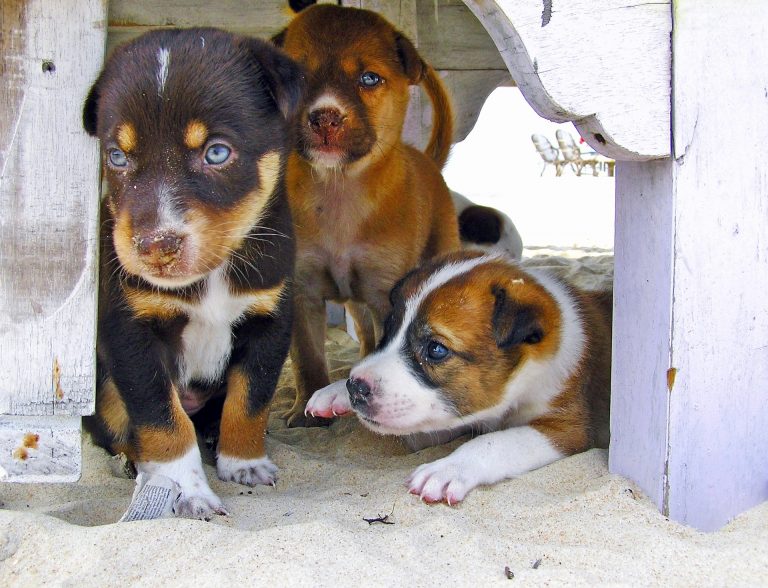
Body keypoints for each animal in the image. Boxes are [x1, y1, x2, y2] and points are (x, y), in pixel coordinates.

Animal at [82, 28, 304, 516]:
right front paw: (184, 488)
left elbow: (250, 400)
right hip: (104, 388)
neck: (211, 276)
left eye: (216, 152)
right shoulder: (130, 332)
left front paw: (244, 463)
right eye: (117, 157)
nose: (155, 246)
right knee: (115, 427)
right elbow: (162, 418)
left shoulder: (271, 319)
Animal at [272, 4, 460, 428]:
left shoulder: (385, 292)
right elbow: (307, 358)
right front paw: (307, 411)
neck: (338, 190)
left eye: (369, 78)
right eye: (298, 75)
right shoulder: (302, 290)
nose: (325, 116)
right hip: (355, 302)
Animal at [306, 250, 612, 504]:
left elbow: (496, 441)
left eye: (436, 349)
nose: (355, 387)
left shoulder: (567, 429)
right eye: (389, 331)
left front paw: (449, 468)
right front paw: (335, 391)